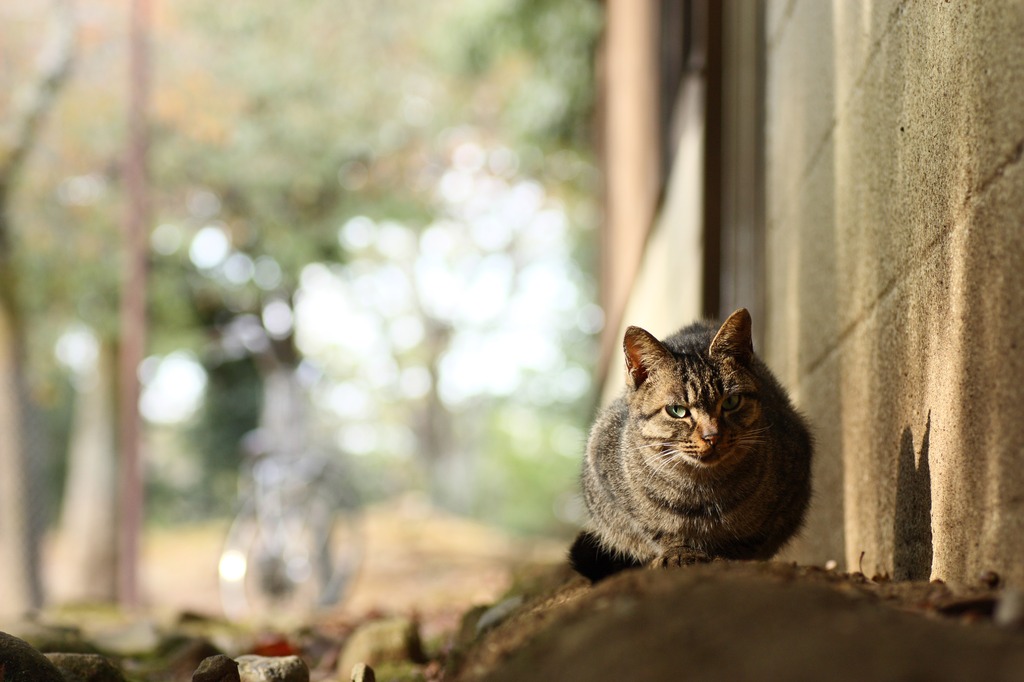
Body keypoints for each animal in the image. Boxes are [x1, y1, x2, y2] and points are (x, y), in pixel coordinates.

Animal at [573, 307, 811, 577]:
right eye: (677, 411)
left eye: (731, 402)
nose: (712, 435)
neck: (701, 492)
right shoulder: (606, 482)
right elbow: (656, 530)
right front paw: (678, 552)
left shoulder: (791, 491)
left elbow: (749, 540)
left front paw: (726, 557)